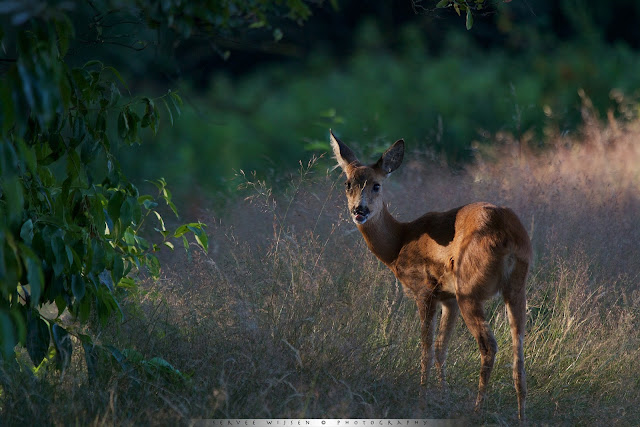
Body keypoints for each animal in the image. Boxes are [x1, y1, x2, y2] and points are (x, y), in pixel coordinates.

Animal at [330, 131, 528, 422]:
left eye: (377, 185)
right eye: (348, 184)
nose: (359, 210)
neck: (398, 244)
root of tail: (507, 235)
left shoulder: (425, 290)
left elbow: (425, 347)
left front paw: (422, 398)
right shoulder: (448, 298)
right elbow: (440, 349)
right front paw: (442, 396)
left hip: (469, 288)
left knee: (489, 345)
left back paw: (477, 409)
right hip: (515, 287)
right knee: (519, 347)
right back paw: (521, 414)